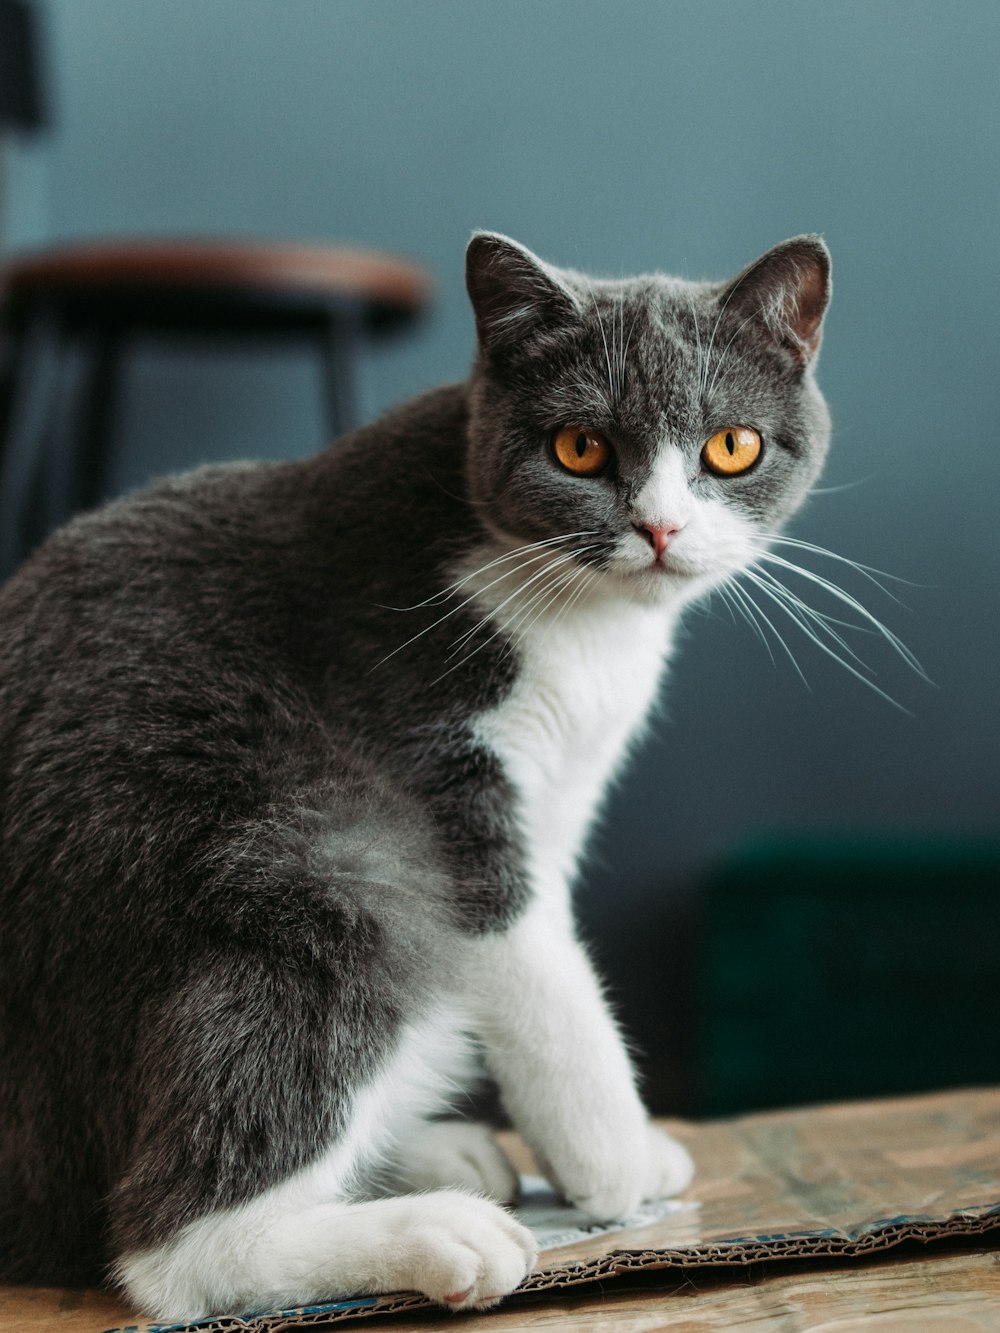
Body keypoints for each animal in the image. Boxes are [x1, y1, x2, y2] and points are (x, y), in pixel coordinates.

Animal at [0, 229, 832, 1311]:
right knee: (165, 1247)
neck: (591, 631)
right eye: (579, 447)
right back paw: (441, 1231)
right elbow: (540, 971)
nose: (660, 528)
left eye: (731, 446)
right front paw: (614, 1162)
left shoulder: (557, 797)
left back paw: (439, 1156)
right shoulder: (424, 738)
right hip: (326, 872)